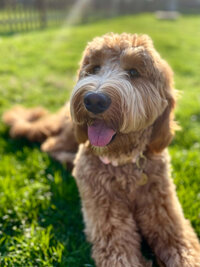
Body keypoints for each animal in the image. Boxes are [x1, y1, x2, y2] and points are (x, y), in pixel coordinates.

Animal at [3, 33, 200, 266]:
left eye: (134, 72)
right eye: (95, 68)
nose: (94, 100)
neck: (123, 162)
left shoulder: (168, 217)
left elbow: (184, 248)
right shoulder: (109, 222)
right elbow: (120, 251)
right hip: (71, 132)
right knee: (50, 145)